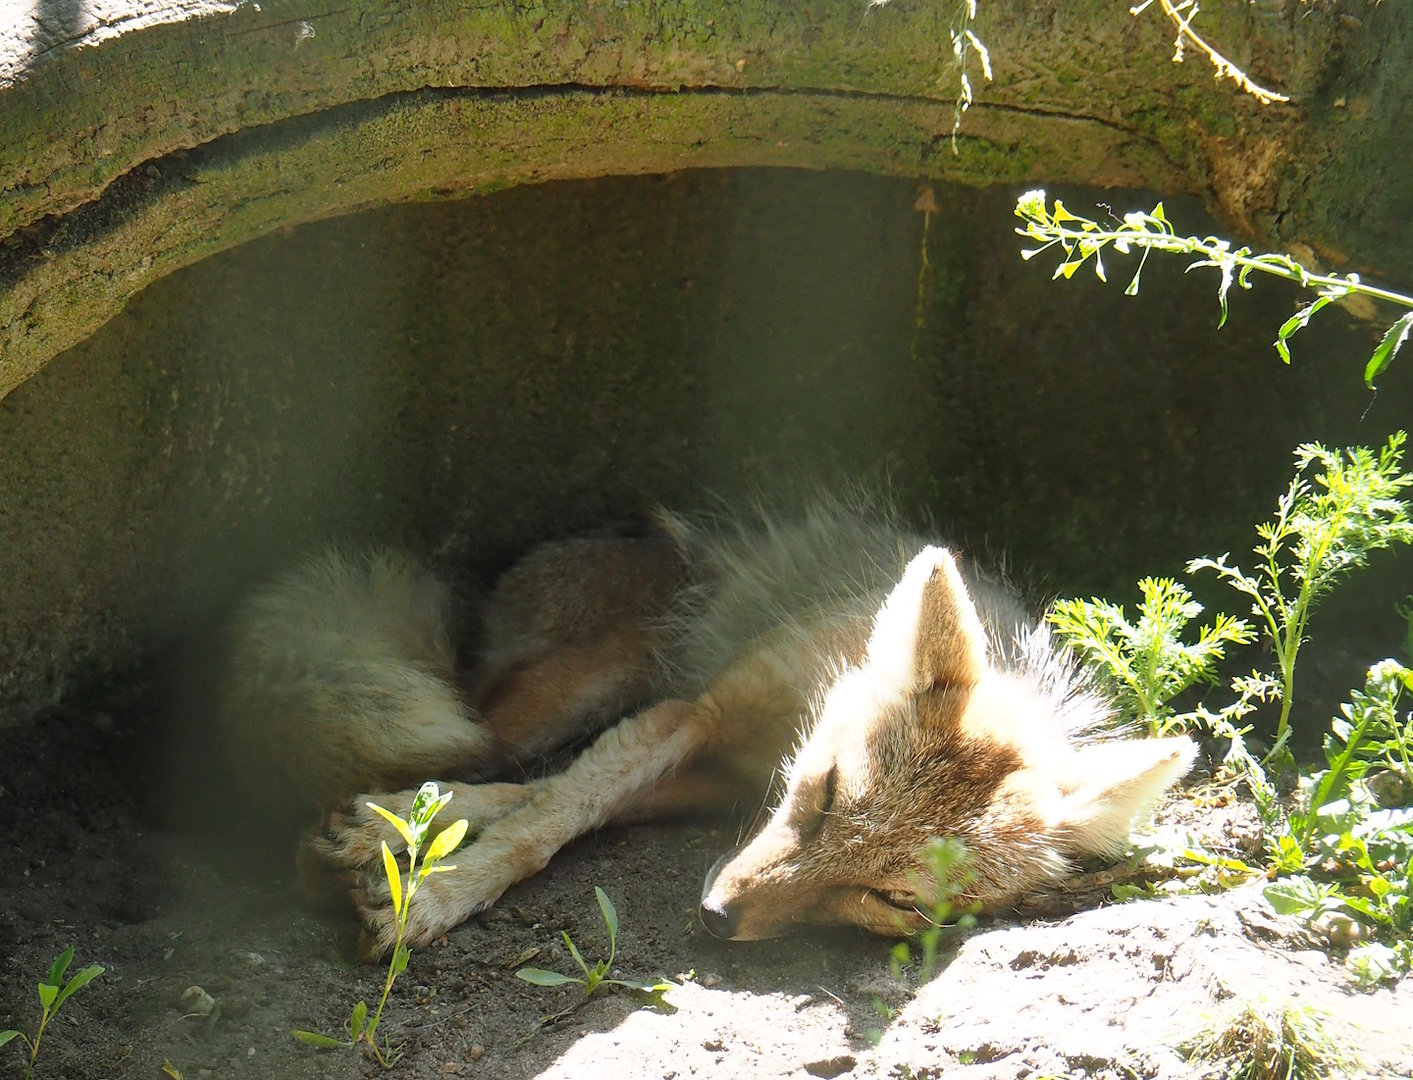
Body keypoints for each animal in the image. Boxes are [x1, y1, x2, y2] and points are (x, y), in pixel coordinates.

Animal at [217, 499, 1196, 953]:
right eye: (827, 795)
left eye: (894, 901)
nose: (719, 918)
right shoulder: (694, 713)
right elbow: (548, 820)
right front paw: (437, 896)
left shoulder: (708, 778)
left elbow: (559, 808)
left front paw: (411, 855)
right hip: (548, 700)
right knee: (505, 753)